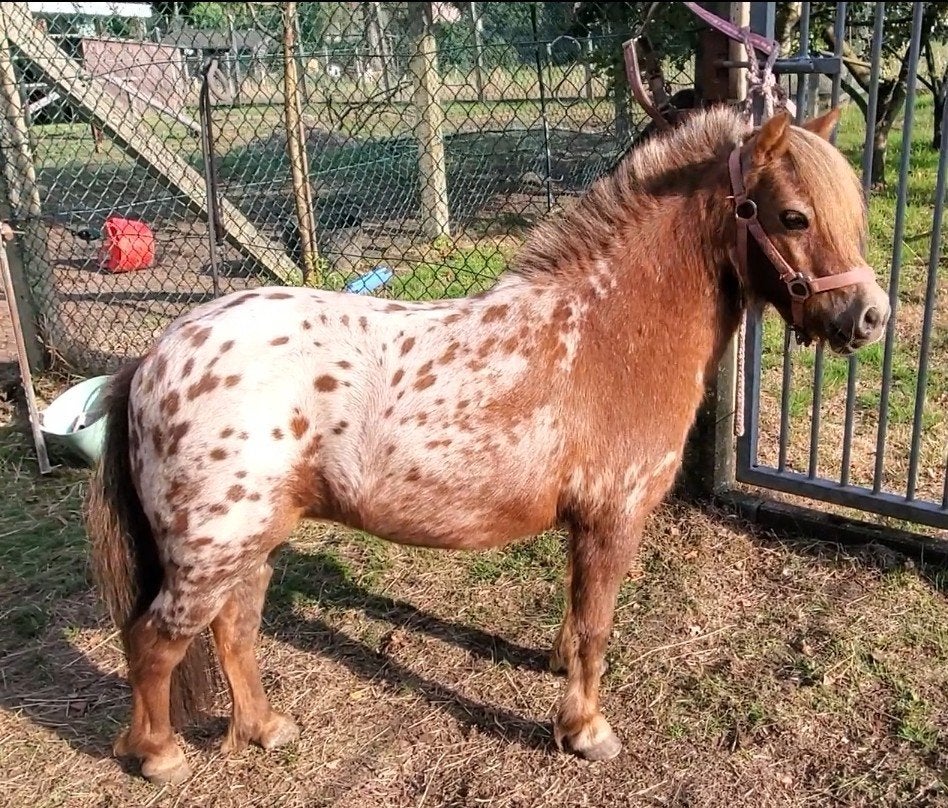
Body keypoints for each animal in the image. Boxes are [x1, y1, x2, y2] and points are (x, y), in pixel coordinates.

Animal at [84, 105, 891, 785]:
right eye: (793, 215)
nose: (871, 317)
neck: (607, 329)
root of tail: (152, 358)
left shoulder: (585, 525)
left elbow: (577, 616)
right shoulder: (612, 519)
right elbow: (596, 627)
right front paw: (585, 730)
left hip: (249, 545)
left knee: (234, 629)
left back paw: (263, 728)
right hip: (211, 551)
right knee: (155, 641)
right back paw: (158, 756)